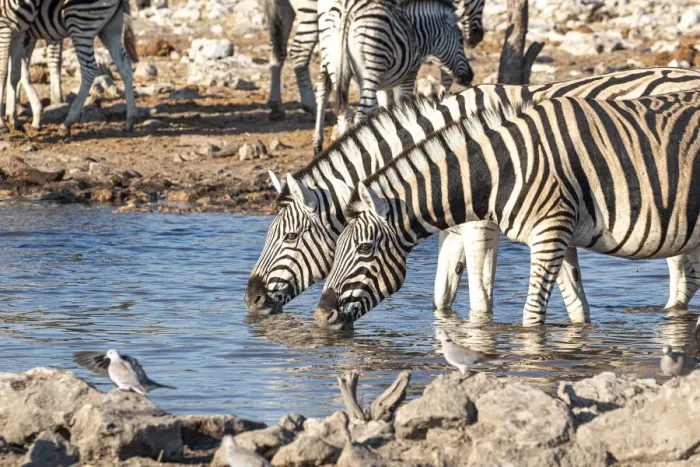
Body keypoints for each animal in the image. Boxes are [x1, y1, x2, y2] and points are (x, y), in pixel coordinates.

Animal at [0, 0, 138, 136]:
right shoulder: (21, 33)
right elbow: (17, 72)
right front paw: (14, 115)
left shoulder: (14, 30)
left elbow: (15, 72)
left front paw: (18, 115)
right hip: (110, 28)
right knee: (124, 66)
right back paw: (129, 121)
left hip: (80, 24)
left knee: (89, 69)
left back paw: (67, 123)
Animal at [244, 67, 700, 321]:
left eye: (289, 237)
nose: (251, 299)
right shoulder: (455, 228)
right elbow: (442, 296)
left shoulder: (481, 227)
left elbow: (480, 301)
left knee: (681, 278)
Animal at [312, 0, 481, 154]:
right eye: (460, 40)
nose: (470, 77)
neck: (416, 33)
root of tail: (347, 12)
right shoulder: (408, 77)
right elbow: (401, 111)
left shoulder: (384, 86)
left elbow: (385, 111)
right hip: (372, 65)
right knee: (361, 114)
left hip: (334, 64)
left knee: (339, 109)